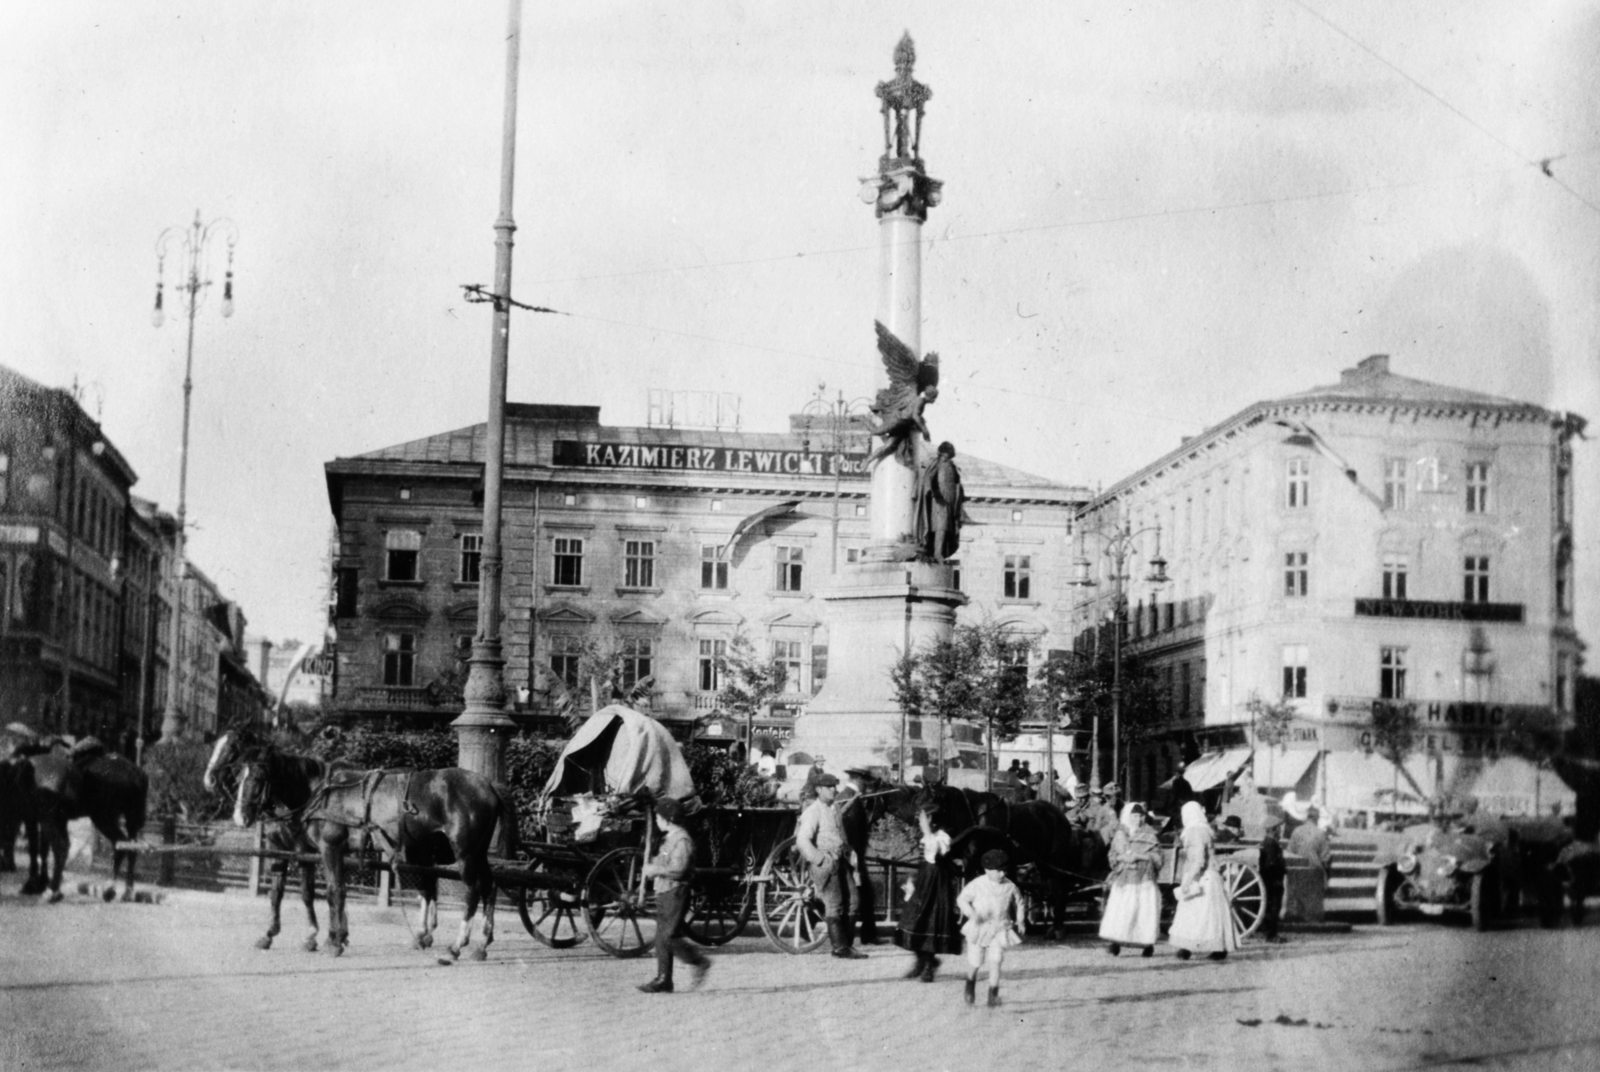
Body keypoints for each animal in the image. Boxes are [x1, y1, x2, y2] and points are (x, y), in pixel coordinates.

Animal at [18, 739, 147, 908]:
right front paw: (40, 883)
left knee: (118, 844)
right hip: (130, 819)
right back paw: (122, 892)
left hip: (102, 817)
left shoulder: (36, 817)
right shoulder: (54, 819)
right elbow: (46, 848)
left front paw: (36, 885)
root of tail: (136, 774)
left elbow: (39, 849)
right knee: (129, 847)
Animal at [228, 739, 515, 966]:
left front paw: (333, 941)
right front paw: (334, 936)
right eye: (237, 778)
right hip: (476, 854)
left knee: (472, 891)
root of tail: (488, 784)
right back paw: (481, 944)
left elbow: (333, 892)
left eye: (258, 778)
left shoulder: (329, 849)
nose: (240, 817)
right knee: (488, 886)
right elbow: (320, 893)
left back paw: (456, 946)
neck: (322, 792)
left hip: (465, 854)